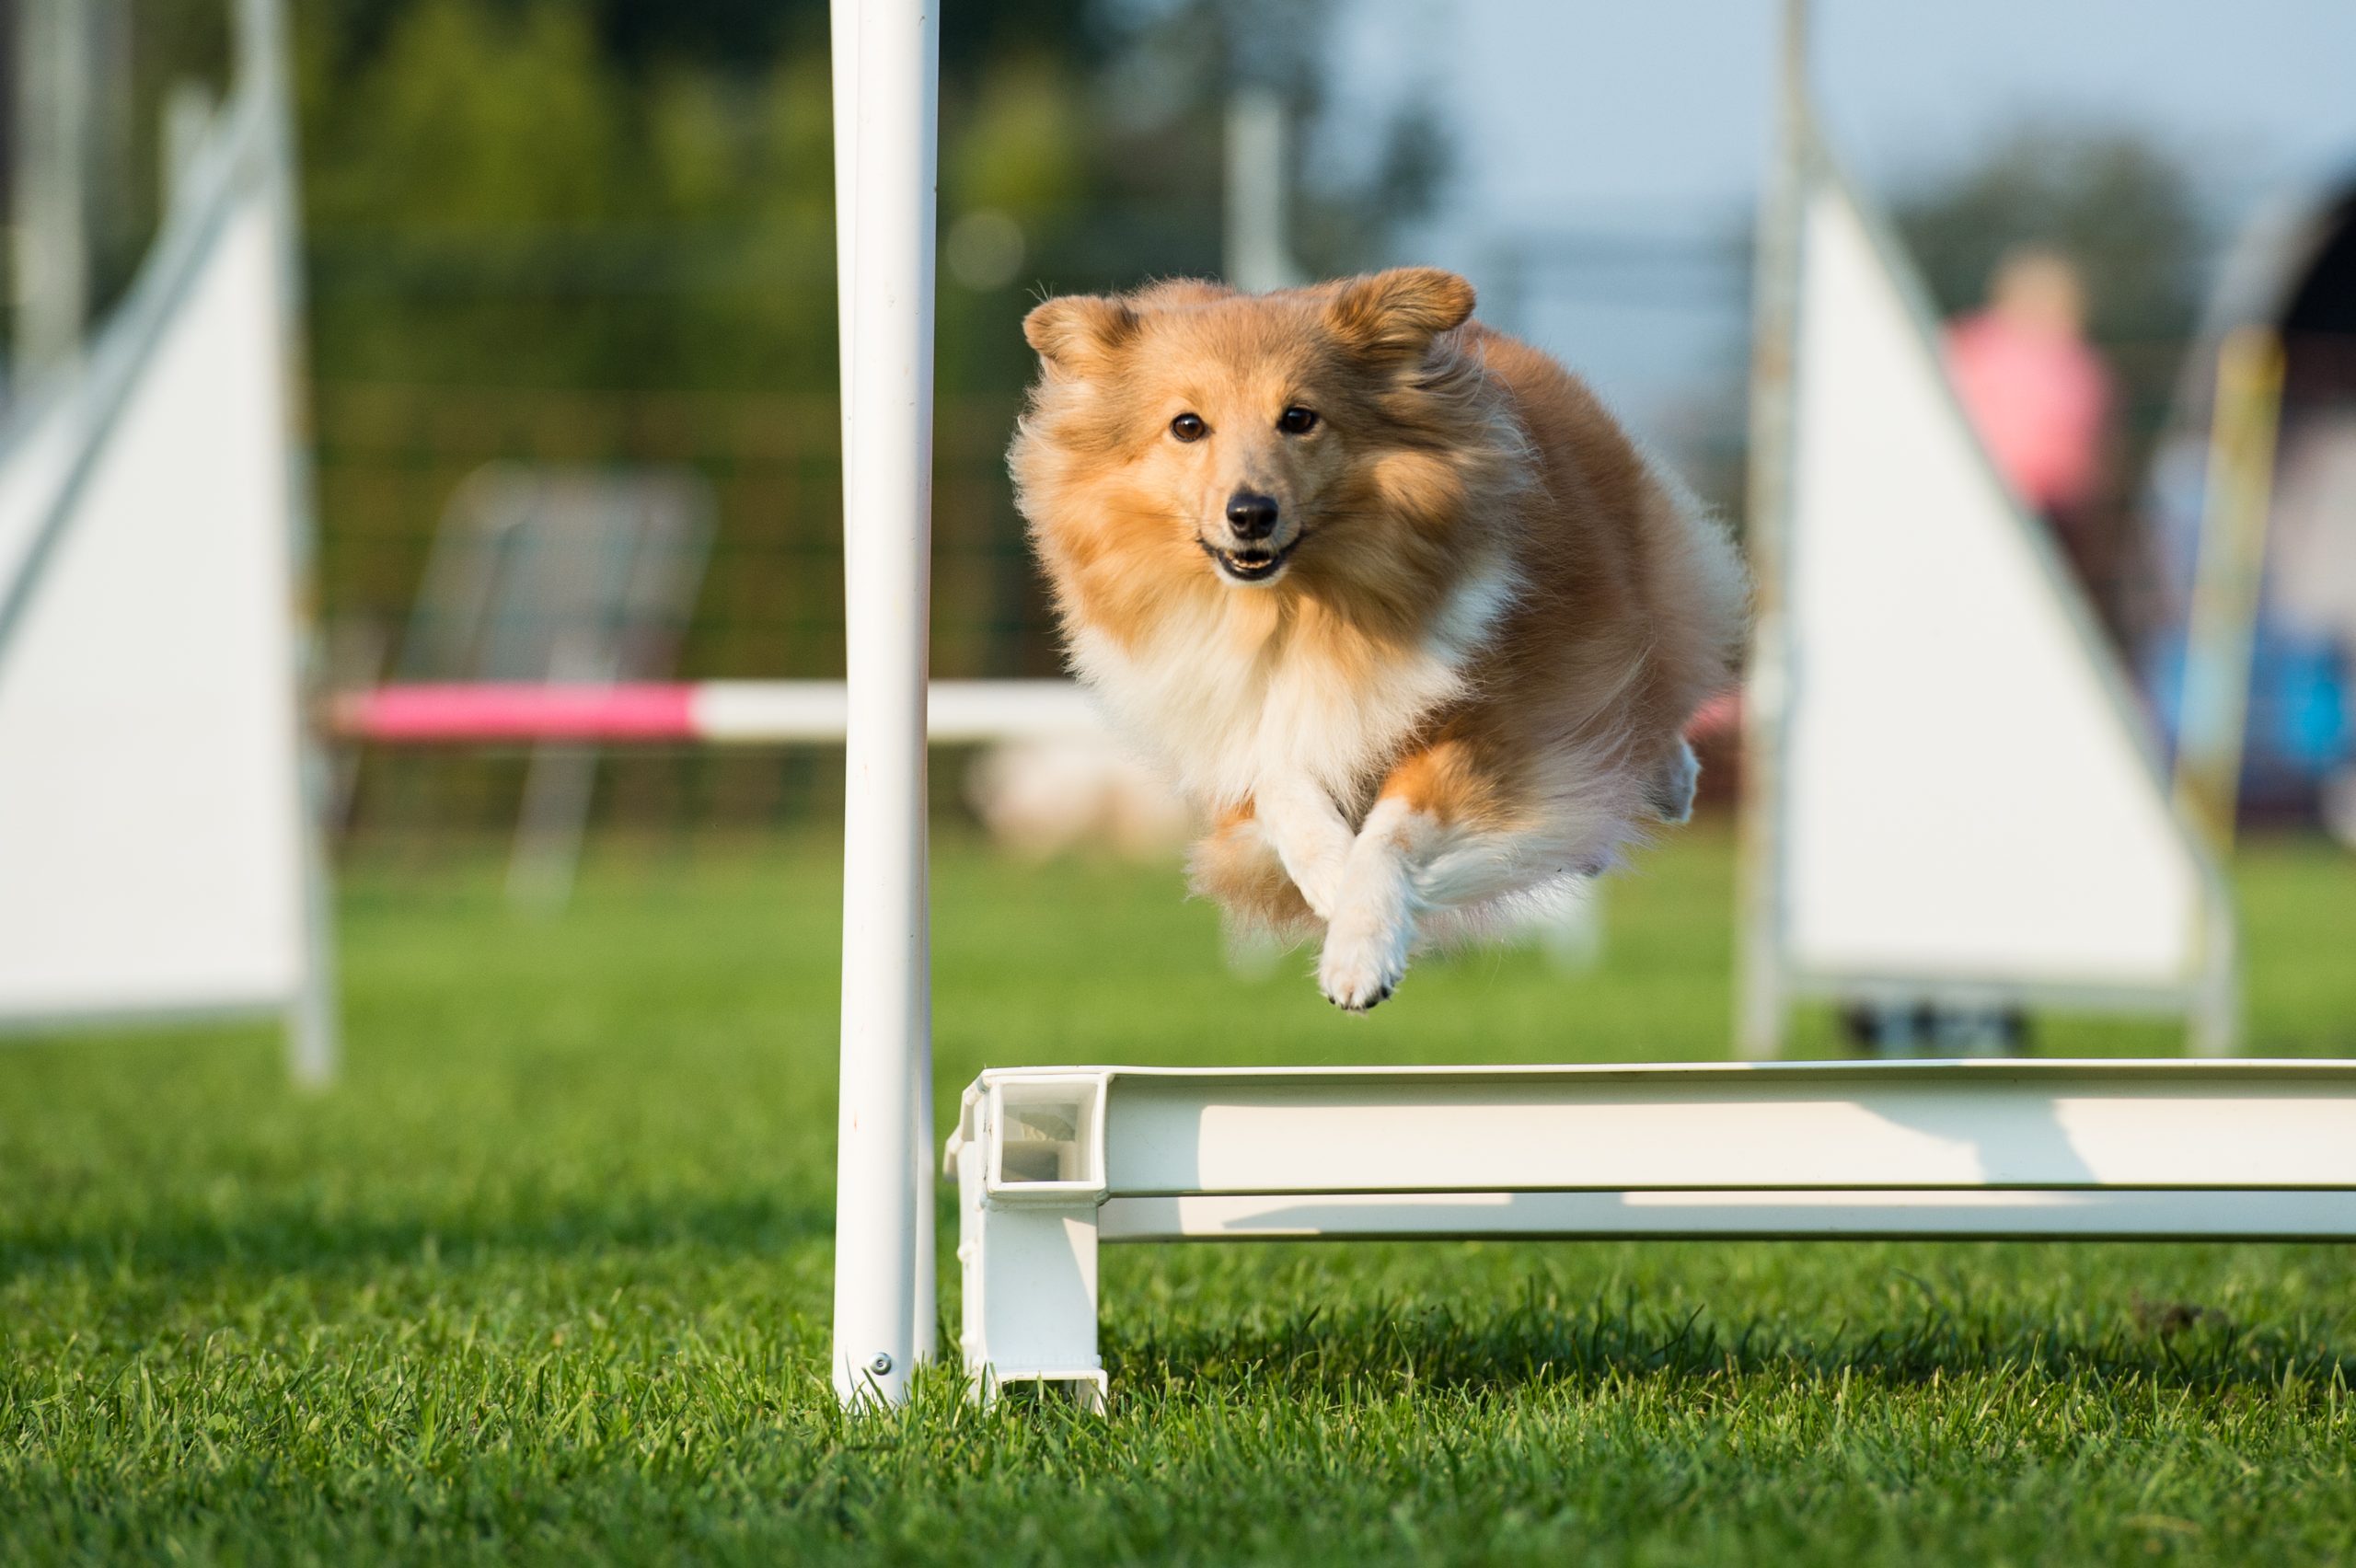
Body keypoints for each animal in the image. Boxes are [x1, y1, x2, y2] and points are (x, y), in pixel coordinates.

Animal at [1003, 268, 1743, 1008]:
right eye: (1187, 425)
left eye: (1299, 417)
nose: (1250, 515)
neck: (1292, 613)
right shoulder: (1238, 743)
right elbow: (1285, 793)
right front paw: (1332, 885)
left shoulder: (1482, 726)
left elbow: (1390, 834)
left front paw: (1360, 953)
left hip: (1634, 608)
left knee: (1657, 680)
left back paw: (1671, 780)